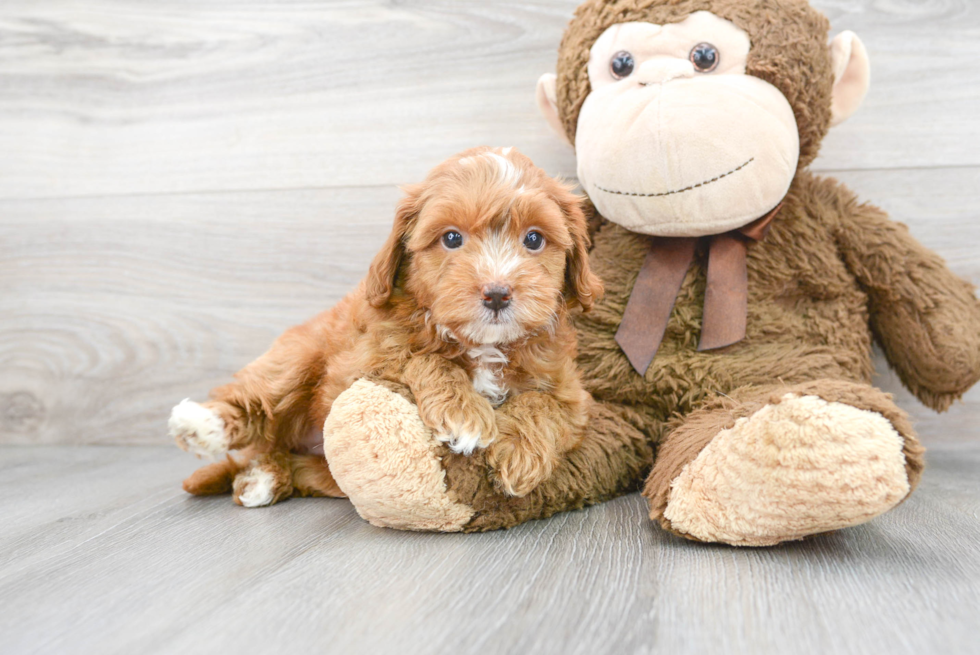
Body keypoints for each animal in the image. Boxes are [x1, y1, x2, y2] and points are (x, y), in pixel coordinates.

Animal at [174, 147, 604, 508]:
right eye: (452, 238)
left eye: (533, 239)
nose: (497, 293)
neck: (482, 345)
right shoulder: (360, 363)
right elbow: (420, 357)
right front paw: (463, 412)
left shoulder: (573, 394)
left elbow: (543, 404)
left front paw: (518, 453)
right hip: (301, 354)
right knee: (259, 397)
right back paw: (203, 426)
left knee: (300, 467)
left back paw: (263, 478)